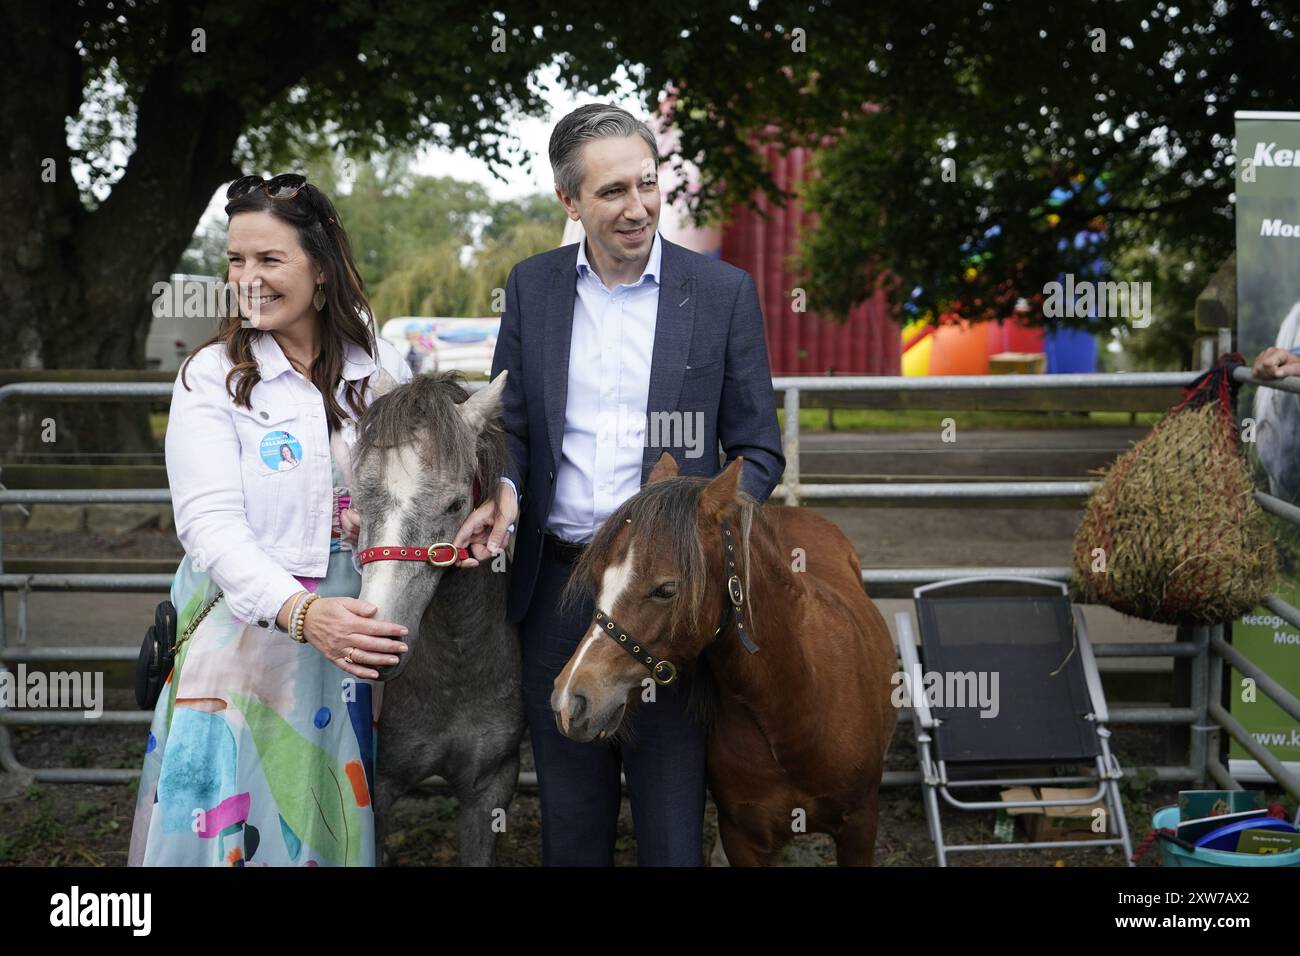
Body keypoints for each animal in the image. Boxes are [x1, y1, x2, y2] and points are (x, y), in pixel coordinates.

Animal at [553, 452, 899, 863]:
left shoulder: (859, 826)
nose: (570, 700)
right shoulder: (743, 836)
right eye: (598, 578)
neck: (795, 704)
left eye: (666, 589)